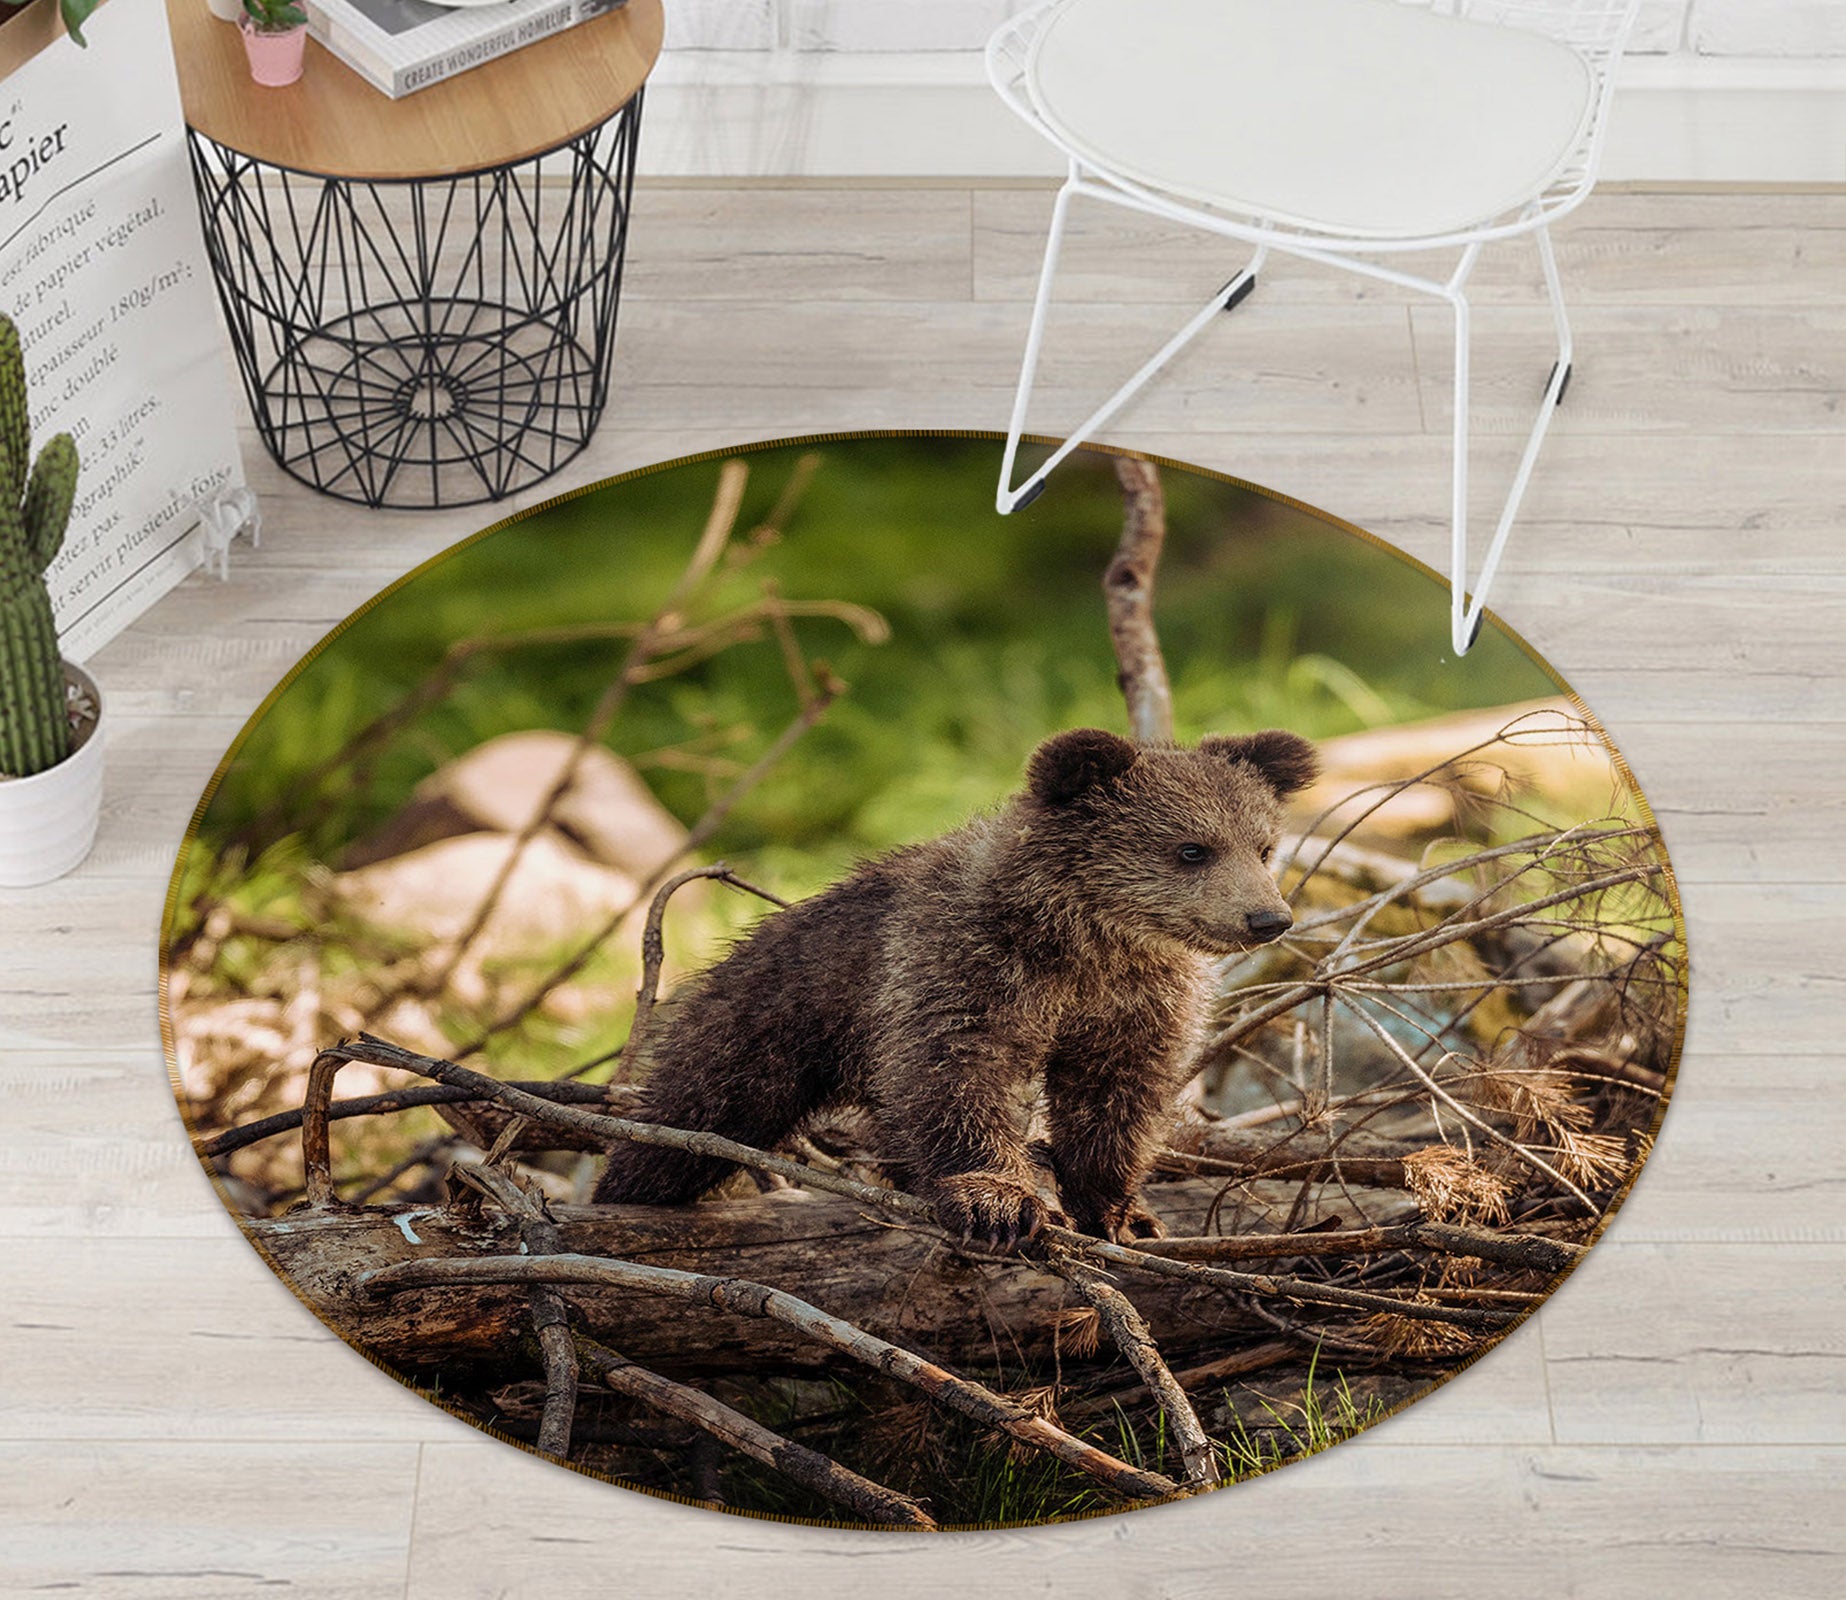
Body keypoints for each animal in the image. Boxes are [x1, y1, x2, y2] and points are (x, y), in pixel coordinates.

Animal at [594, 725, 1318, 1251]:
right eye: (1192, 849)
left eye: (1264, 846)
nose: (1267, 918)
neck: (1085, 942)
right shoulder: (963, 967)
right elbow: (955, 1072)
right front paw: (997, 1202)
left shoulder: (1134, 1002)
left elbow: (1116, 1096)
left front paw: (1121, 1212)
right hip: (765, 1021)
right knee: (693, 1114)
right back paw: (628, 1190)